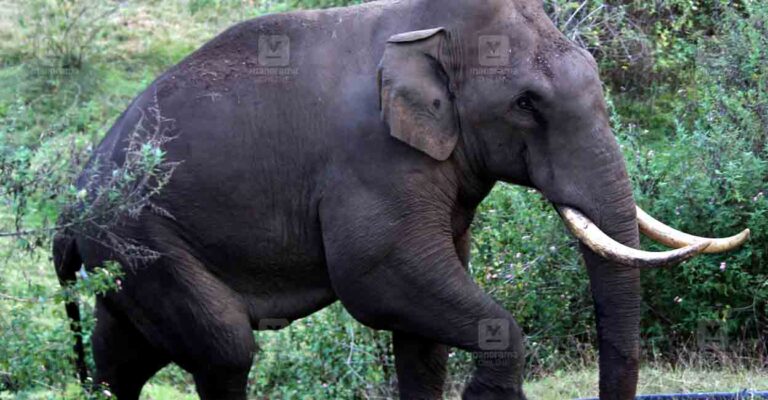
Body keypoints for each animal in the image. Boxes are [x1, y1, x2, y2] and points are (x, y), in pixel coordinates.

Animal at [52, 0, 750, 399]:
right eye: (526, 104)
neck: (428, 32)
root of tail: (68, 208)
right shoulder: (370, 160)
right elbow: (378, 277)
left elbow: (421, 337)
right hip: (142, 239)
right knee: (225, 350)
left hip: (123, 263)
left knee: (122, 360)